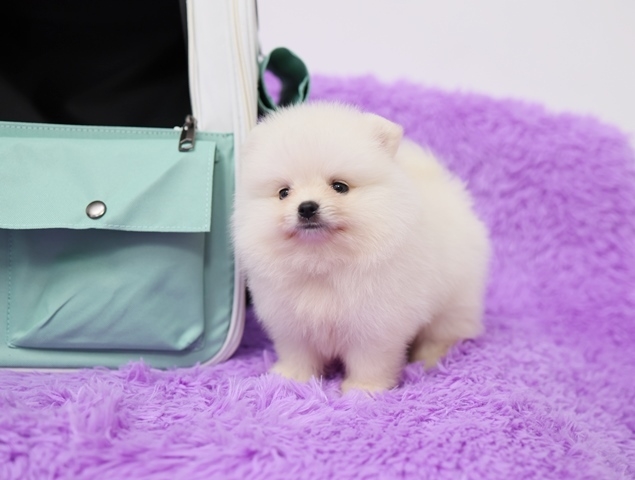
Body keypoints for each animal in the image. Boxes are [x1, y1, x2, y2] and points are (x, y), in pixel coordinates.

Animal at [232, 102, 490, 393]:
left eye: (339, 187)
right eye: (284, 193)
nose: (307, 207)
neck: (322, 261)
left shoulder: (374, 325)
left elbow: (370, 361)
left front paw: (363, 390)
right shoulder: (292, 323)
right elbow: (298, 353)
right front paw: (290, 378)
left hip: (455, 300)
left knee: (444, 332)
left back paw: (430, 357)